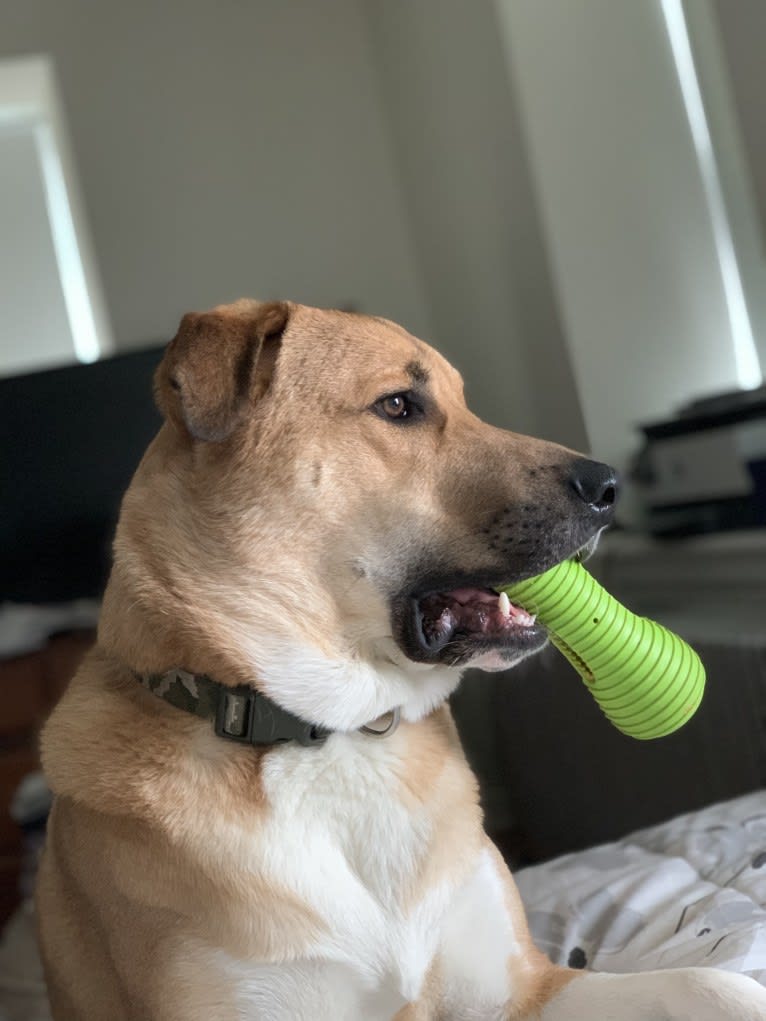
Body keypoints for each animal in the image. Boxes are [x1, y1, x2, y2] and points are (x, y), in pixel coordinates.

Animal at [36, 298, 766, 1016]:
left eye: (466, 401)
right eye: (397, 405)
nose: (610, 486)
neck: (339, 736)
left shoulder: (522, 986)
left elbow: (713, 983)